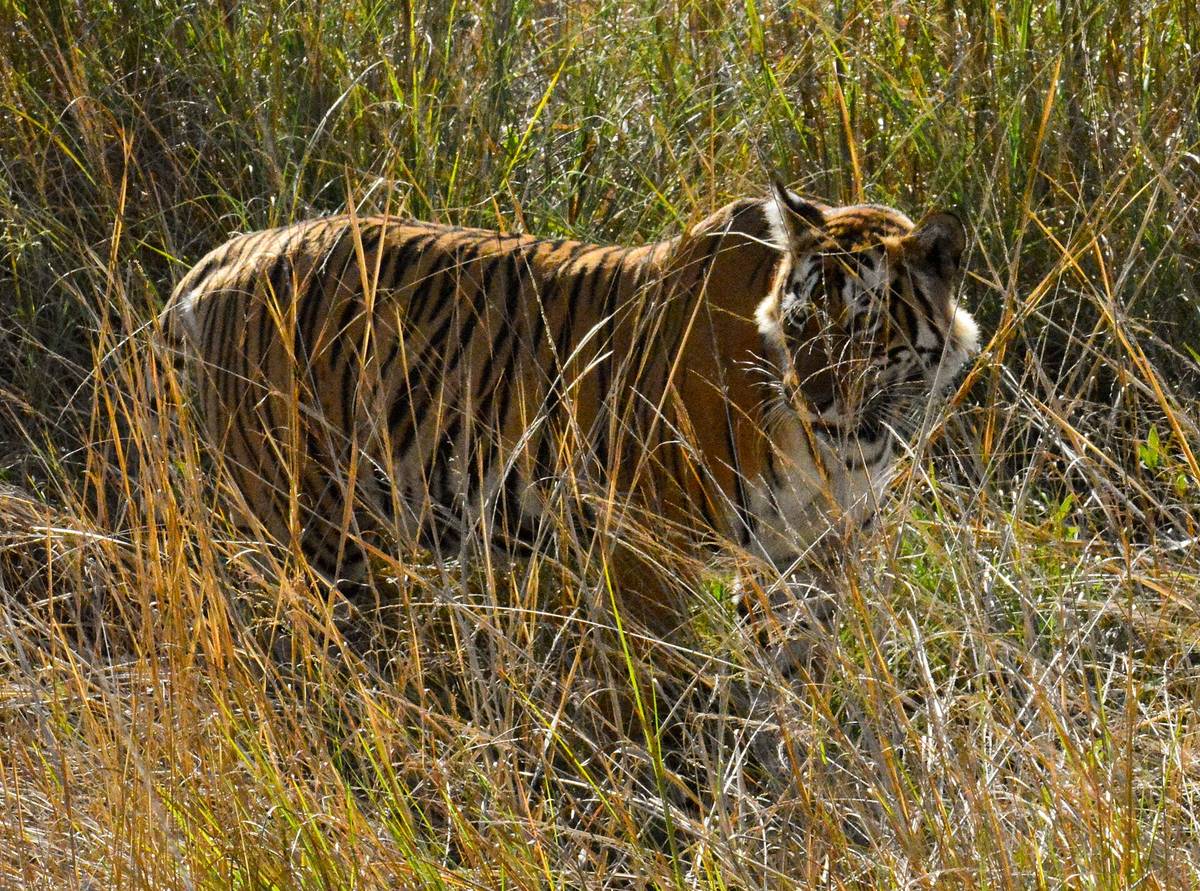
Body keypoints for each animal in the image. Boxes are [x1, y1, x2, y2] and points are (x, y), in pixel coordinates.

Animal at [161, 182, 979, 632]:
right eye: (804, 322)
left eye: (863, 327)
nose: (811, 395)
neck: (847, 447)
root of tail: (221, 256)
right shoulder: (646, 546)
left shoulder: (816, 557)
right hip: (314, 526)